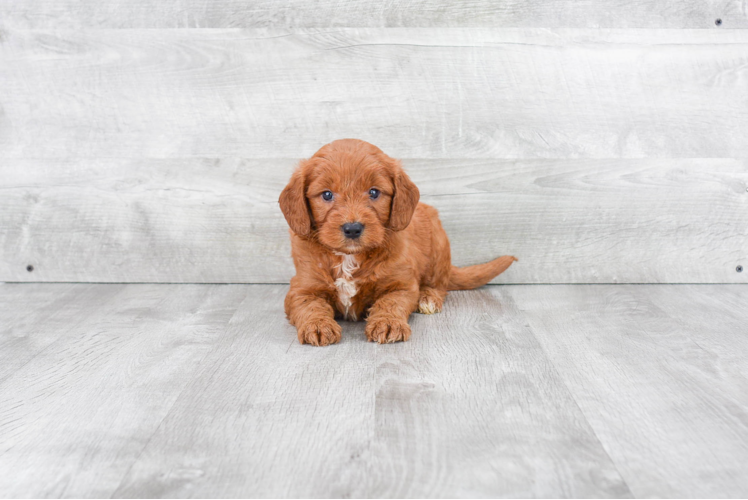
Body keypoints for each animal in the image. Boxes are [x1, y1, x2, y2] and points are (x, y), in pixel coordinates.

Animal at [278, 139, 516, 346]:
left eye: (374, 192)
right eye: (327, 195)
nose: (352, 228)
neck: (349, 257)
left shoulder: (401, 284)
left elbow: (390, 302)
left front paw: (388, 323)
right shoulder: (302, 288)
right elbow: (310, 306)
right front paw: (318, 326)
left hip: (439, 247)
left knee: (439, 284)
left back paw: (428, 298)